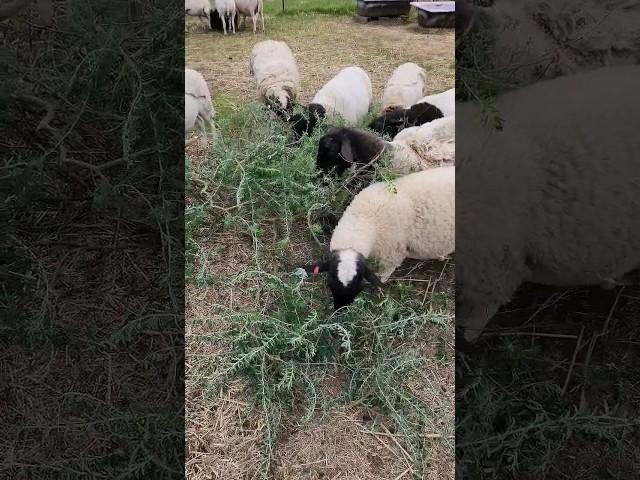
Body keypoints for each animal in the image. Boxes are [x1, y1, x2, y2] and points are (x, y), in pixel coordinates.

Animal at [308, 167, 456, 310]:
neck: (366, 218)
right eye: (331, 283)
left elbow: (384, 274)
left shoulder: (392, 255)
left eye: (357, 285)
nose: (340, 309)